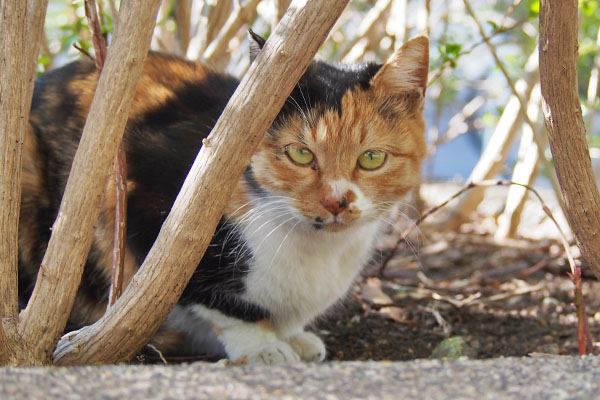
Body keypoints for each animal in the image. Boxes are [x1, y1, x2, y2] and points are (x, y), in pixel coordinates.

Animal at [18, 34, 428, 366]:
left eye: (371, 158)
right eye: (300, 154)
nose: (336, 201)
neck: (317, 251)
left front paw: (294, 338)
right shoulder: (147, 204)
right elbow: (219, 303)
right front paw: (263, 346)